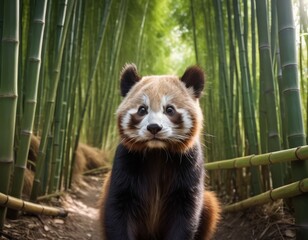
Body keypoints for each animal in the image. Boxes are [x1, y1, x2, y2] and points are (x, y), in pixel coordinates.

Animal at [100, 64, 220, 240]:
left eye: (169, 109)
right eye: (142, 110)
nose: (154, 128)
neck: (157, 151)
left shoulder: (189, 161)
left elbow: (186, 213)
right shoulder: (127, 158)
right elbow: (118, 208)